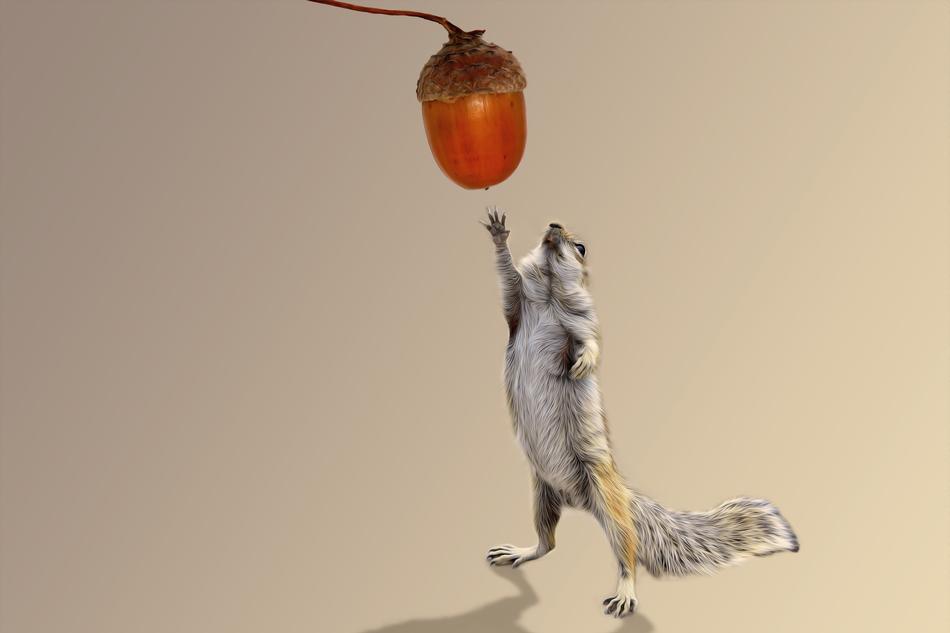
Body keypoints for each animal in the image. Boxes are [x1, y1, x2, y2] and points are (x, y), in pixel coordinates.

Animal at [481, 208, 799, 618]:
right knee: (547, 542)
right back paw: (520, 552)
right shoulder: (516, 307)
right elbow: (507, 282)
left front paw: (583, 364)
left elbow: (592, 342)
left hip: (609, 504)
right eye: (548, 234)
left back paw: (625, 592)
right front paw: (499, 236)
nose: (553, 227)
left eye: (581, 247)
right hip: (542, 493)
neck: (550, 293)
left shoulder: (586, 321)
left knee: (627, 551)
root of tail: (582, 498)